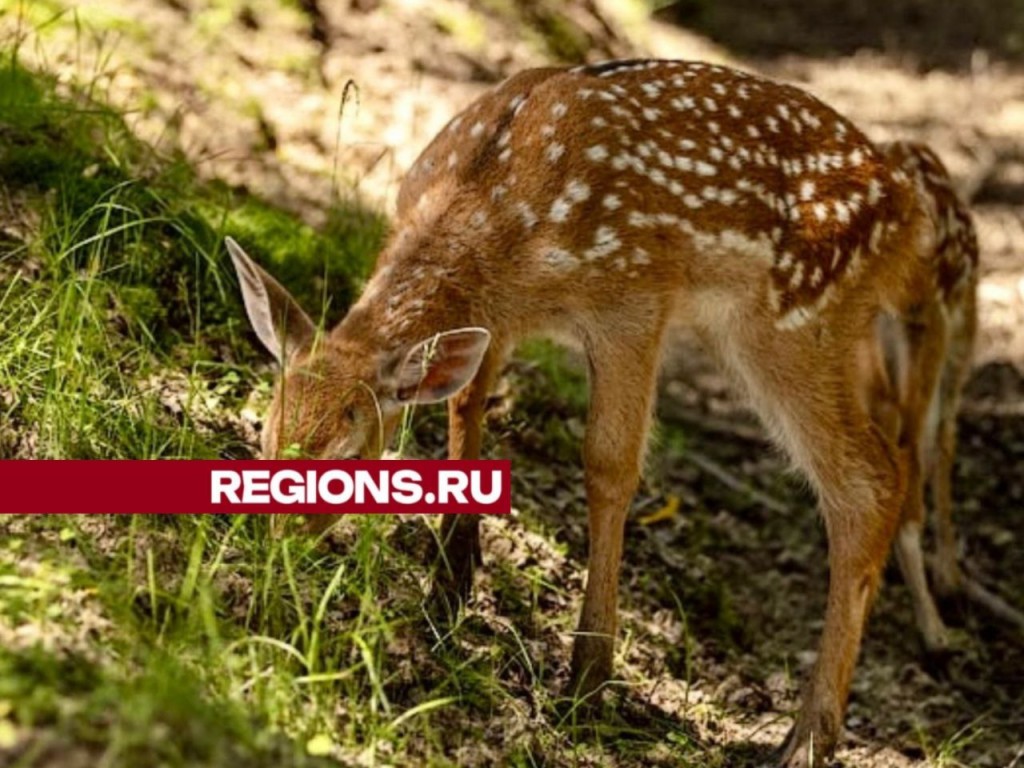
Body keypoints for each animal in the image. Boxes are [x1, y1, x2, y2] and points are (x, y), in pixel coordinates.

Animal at [224, 61, 950, 768]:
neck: (498, 216)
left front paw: (586, 680)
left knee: (870, 481)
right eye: (266, 433)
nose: (271, 554)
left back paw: (807, 739)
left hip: (793, 320)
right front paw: (448, 595)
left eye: (346, 459)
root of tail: (912, 210)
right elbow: (466, 405)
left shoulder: (633, 298)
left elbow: (609, 466)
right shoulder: (495, 320)